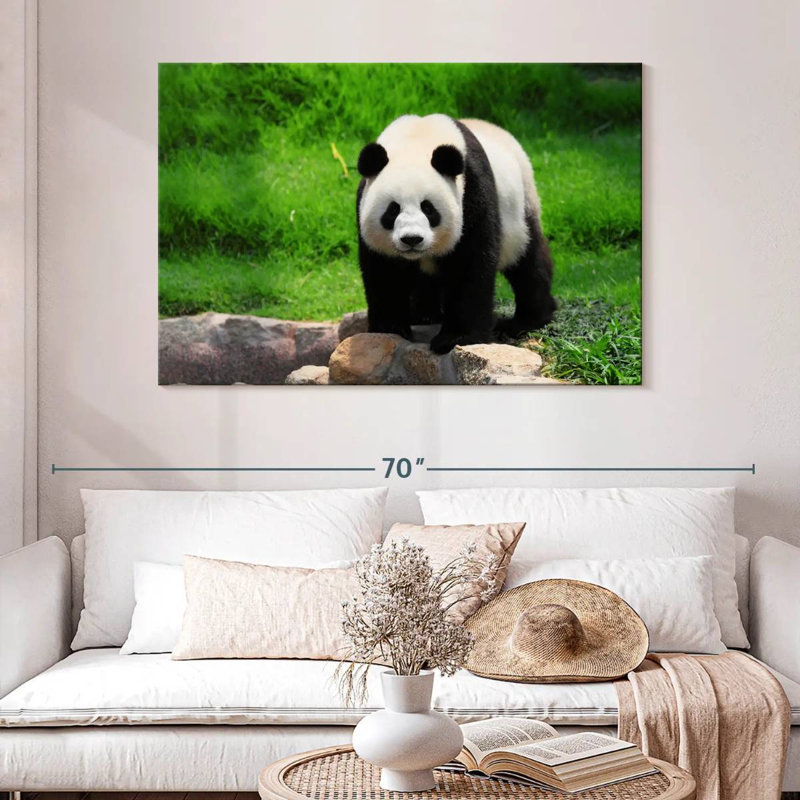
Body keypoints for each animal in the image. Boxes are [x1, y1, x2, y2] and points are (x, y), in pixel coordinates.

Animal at [356, 114, 556, 355]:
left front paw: (456, 338)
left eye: (428, 208)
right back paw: (423, 314)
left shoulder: (472, 192)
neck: (416, 139)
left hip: (520, 210)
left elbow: (469, 265)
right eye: (392, 210)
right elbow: (386, 272)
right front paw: (390, 328)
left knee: (528, 261)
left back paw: (526, 320)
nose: (412, 239)